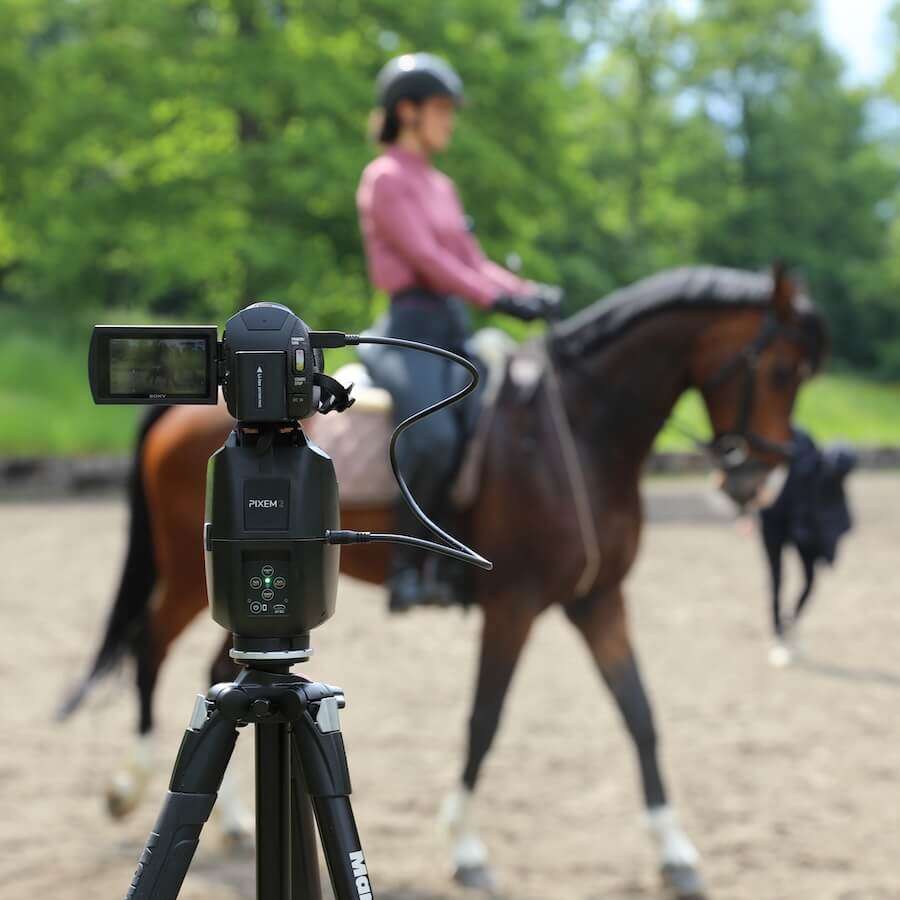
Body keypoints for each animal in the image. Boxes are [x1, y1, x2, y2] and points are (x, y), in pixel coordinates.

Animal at [64, 265, 826, 898]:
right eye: (778, 369)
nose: (757, 480)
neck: (578, 432)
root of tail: (175, 408)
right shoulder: (514, 603)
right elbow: (485, 719)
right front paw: (464, 847)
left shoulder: (597, 599)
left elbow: (639, 714)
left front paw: (675, 851)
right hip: (189, 573)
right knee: (152, 646)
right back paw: (128, 784)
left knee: (216, 665)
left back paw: (230, 821)